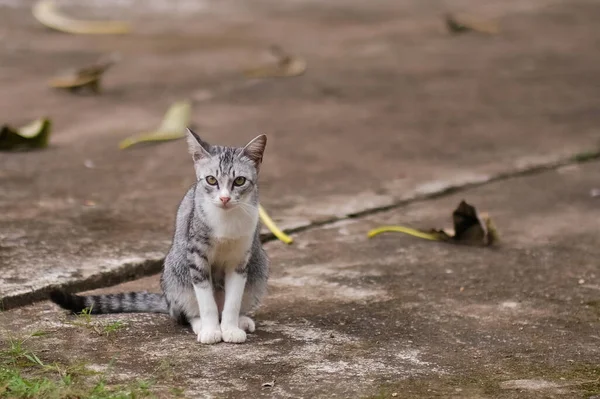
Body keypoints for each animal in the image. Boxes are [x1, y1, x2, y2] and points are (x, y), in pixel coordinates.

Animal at [49, 130, 270, 346]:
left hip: (259, 264)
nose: (224, 198)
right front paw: (210, 330)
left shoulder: (241, 258)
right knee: (183, 312)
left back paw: (240, 320)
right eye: (211, 180)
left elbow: (233, 299)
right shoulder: (195, 254)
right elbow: (205, 300)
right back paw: (200, 323)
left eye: (239, 181)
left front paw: (230, 328)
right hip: (175, 269)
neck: (226, 219)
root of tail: (167, 300)